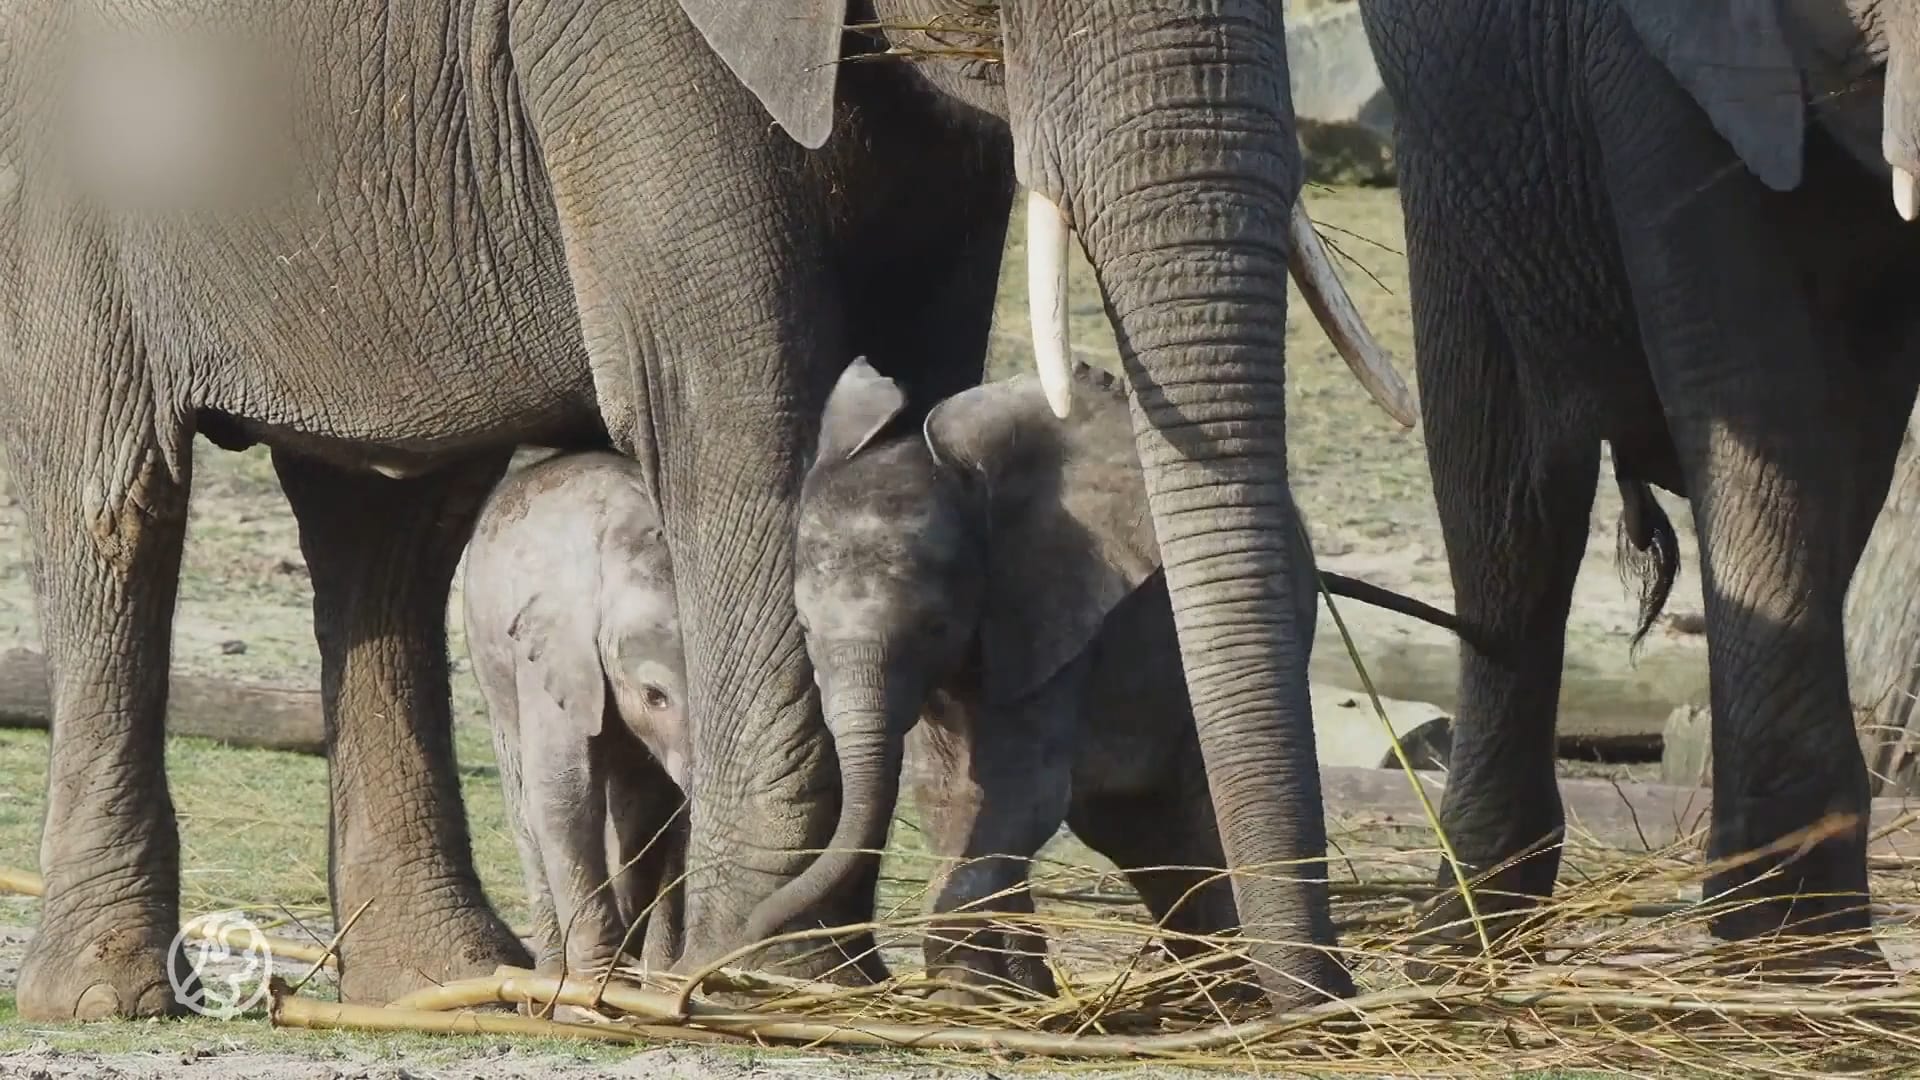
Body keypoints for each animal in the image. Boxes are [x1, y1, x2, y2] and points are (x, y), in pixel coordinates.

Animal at [462, 449, 691, 972]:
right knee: (524, 803)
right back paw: (548, 978)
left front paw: (646, 973)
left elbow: (660, 814)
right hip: (492, 669)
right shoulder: (552, 651)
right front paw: (594, 986)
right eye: (655, 695)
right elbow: (561, 794)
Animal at [783, 357, 1466, 999]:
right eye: (807, 630)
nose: (758, 931)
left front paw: (963, 996)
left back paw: (1224, 986)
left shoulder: (1055, 620)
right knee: (1135, 829)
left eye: (933, 626)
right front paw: (989, 994)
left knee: (1190, 814)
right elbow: (948, 792)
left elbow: (1016, 796)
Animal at [1367, 0, 1920, 960]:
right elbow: (1750, 377)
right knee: (1506, 499)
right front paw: (1797, 959)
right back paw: (1460, 943)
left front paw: (1795, 948)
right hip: (1450, 146)